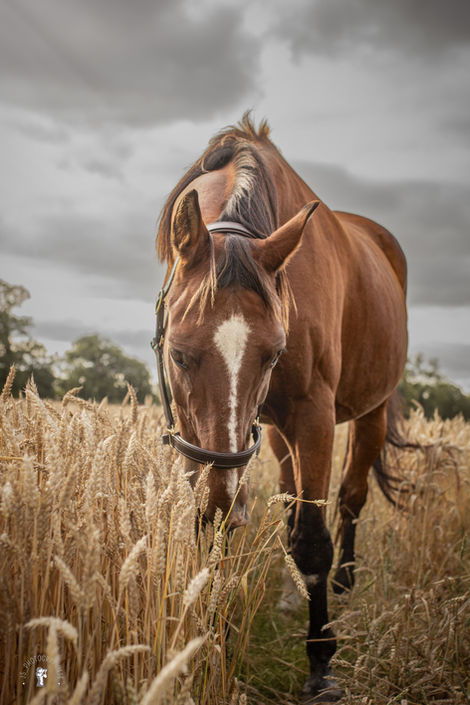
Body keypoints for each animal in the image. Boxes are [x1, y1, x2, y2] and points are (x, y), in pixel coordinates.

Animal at [154, 114, 409, 702]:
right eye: (177, 352)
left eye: (273, 352)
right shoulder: (207, 441)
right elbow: (225, 528)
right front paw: (213, 642)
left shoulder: (312, 416)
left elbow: (313, 539)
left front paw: (321, 665)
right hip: (273, 434)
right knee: (292, 502)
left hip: (370, 412)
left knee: (351, 499)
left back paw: (343, 583)